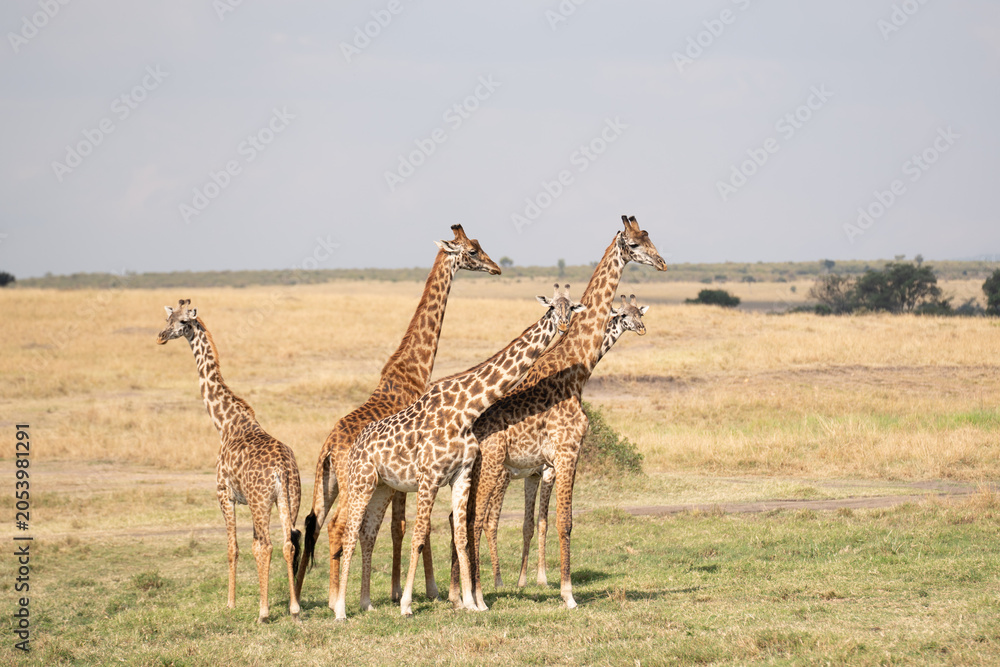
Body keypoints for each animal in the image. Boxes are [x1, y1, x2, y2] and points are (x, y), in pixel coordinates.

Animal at [156, 299, 302, 623]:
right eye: (167, 318)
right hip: (289, 498)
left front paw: (231, 603)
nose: (160, 336)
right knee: (288, 542)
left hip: (261, 501)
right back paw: (294, 608)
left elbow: (233, 548)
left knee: (268, 545)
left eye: (183, 321)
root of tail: (282, 469)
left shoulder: (225, 494)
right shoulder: (246, 499)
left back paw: (263, 613)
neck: (224, 423)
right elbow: (251, 545)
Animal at [295, 224, 501, 610]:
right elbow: (404, 527)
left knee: (313, 522)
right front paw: (420, 590)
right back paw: (333, 600)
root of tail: (328, 446)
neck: (412, 370)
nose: (496, 268)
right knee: (338, 525)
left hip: (328, 483)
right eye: (473, 251)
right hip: (353, 482)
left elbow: (399, 527)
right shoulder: (410, 473)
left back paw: (299, 599)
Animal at [333, 285, 585, 619]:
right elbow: (419, 537)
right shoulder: (429, 477)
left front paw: (471, 602)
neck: (467, 409)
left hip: (382, 488)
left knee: (367, 533)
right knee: (349, 534)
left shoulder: (461, 475)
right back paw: (340, 610)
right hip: (361, 483)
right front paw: (407, 604)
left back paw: (366, 603)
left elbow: (462, 537)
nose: (565, 326)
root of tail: (356, 445)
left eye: (571, 307)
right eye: (552, 308)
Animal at [483, 294, 650, 590]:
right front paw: (540, 579)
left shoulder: (537, 474)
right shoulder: (549, 469)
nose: (641, 328)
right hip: (500, 474)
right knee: (489, 522)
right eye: (624, 315)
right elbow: (542, 521)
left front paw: (528, 578)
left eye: (639, 313)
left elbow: (534, 523)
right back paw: (496, 580)